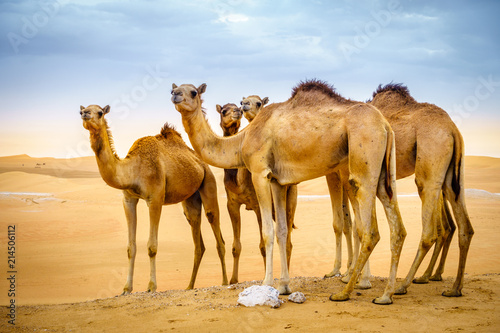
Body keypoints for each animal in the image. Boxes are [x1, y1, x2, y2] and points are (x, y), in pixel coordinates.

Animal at [80, 104, 229, 294]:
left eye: (99, 112)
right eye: (83, 110)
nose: (85, 114)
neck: (132, 170)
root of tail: (200, 161)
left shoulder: (155, 198)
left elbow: (152, 247)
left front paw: (151, 286)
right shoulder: (128, 199)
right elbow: (130, 247)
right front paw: (126, 288)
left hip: (208, 181)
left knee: (217, 232)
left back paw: (225, 282)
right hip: (190, 199)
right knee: (197, 239)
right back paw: (189, 286)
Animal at [216, 102, 296, 282]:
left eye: (236, 106)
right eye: (224, 110)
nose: (238, 111)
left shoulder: (257, 205)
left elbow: (262, 245)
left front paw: (267, 278)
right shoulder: (232, 203)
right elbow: (236, 246)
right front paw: (233, 280)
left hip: (291, 198)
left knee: (288, 240)